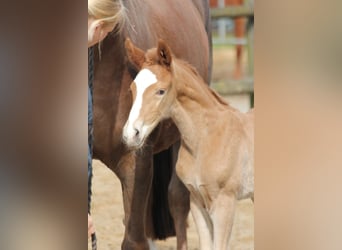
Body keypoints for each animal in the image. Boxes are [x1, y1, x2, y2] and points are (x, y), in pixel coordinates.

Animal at [123, 39, 254, 250]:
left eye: (161, 91)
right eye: (132, 90)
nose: (130, 134)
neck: (205, 139)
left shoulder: (224, 203)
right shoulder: (197, 202)